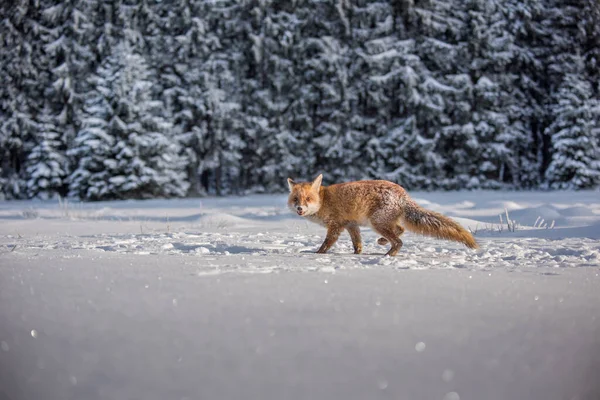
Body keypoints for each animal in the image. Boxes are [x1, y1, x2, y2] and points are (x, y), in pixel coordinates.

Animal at [286, 174, 478, 256]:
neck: (324, 200)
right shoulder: (351, 225)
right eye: (296, 199)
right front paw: (356, 255)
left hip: (376, 222)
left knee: (399, 241)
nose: (300, 209)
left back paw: (388, 256)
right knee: (400, 230)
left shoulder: (336, 226)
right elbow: (357, 244)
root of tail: (403, 194)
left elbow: (326, 243)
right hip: (383, 222)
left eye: (308, 199)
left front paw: (316, 254)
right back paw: (384, 244)